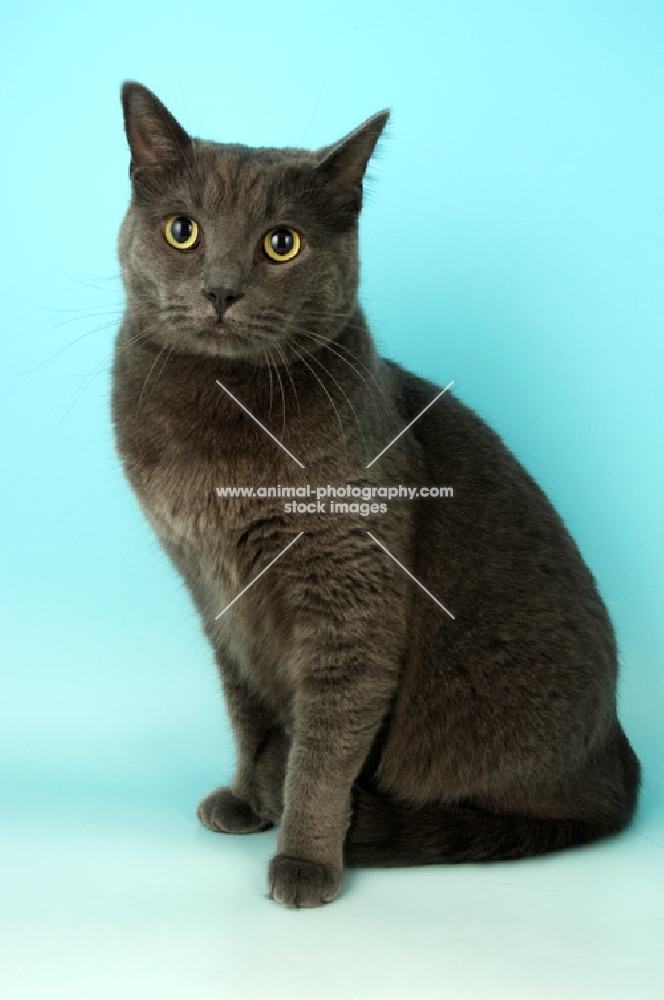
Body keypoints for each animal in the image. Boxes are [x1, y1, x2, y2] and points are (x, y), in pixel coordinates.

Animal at [113, 82, 640, 912]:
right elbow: (246, 709)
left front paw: (304, 859)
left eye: (282, 244)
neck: (220, 425)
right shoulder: (215, 593)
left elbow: (324, 745)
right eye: (182, 230)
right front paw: (245, 798)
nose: (221, 290)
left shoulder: (350, 586)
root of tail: (621, 764)